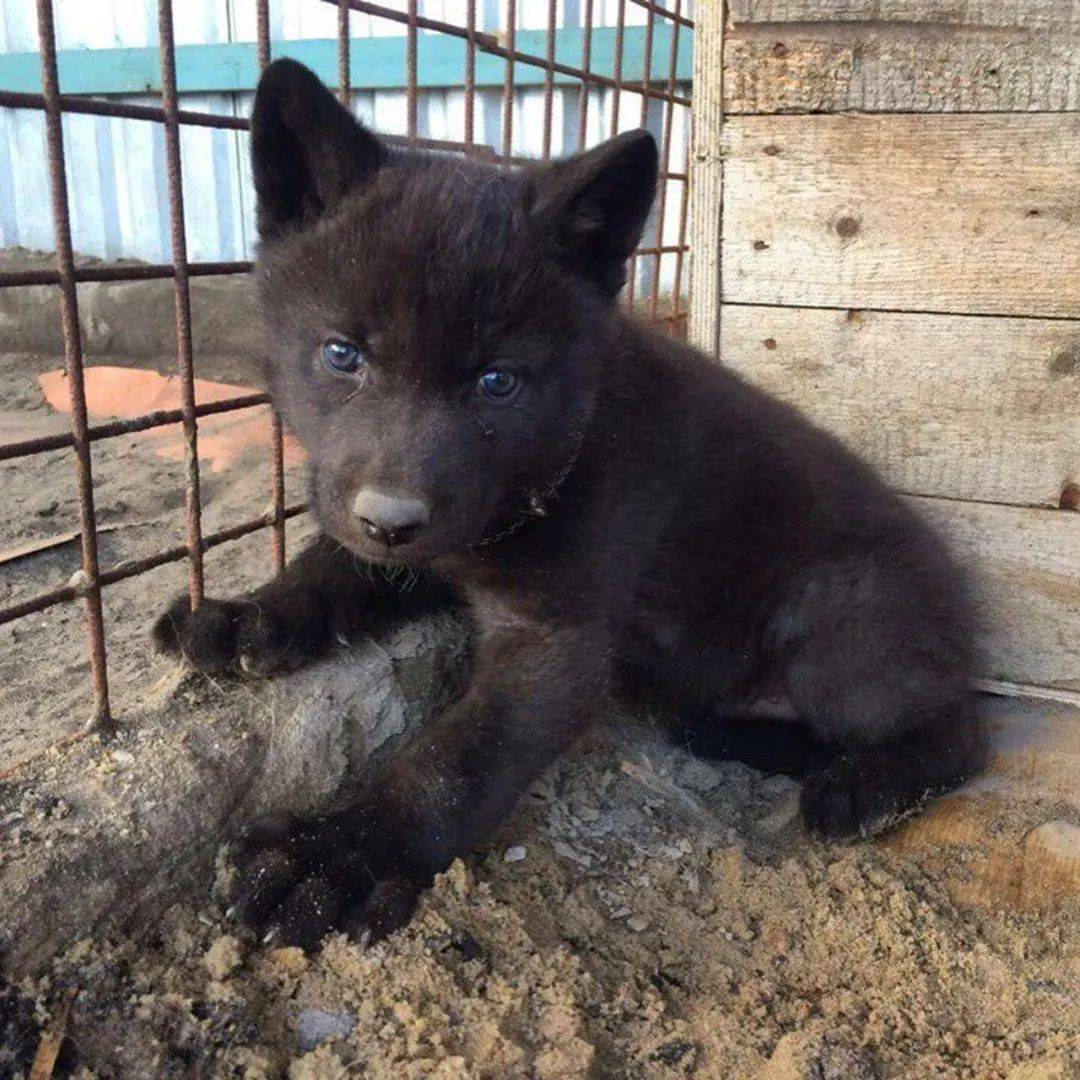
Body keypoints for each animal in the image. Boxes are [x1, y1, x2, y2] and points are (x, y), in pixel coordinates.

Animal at [154, 61, 989, 954]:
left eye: (498, 382)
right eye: (342, 355)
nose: (393, 520)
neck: (557, 452)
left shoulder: (554, 636)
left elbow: (458, 759)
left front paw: (338, 854)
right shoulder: (393, 527)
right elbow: (328, 566)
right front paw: (247, 615)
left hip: (841, 612)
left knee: (956, 730)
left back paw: (859, 788)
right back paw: (729, 733)